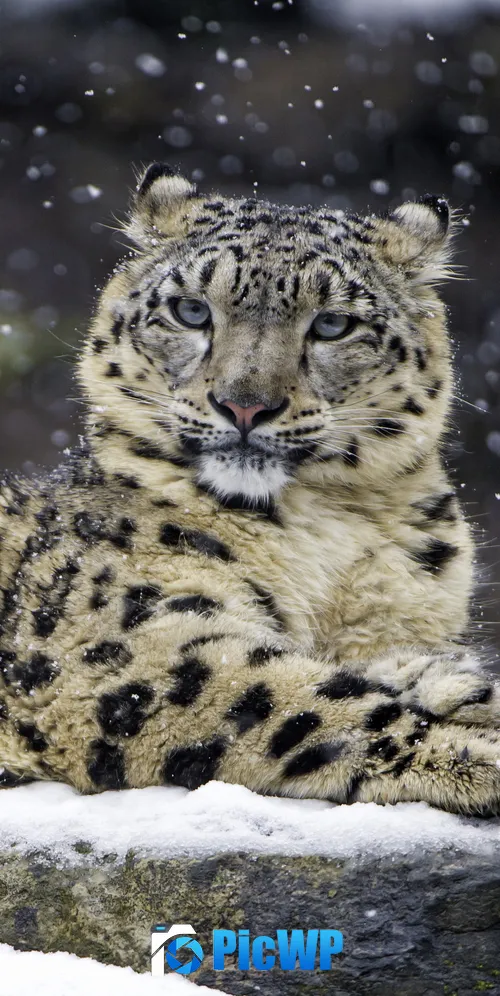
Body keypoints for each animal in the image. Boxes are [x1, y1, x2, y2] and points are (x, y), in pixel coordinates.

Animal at [1, 161, 500, 817]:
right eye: (190, 311)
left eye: (333, 324)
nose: (244, 404)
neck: (328, 538)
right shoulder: (125, 648)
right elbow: (302, 702)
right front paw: (477, 745)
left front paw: (450, 680)